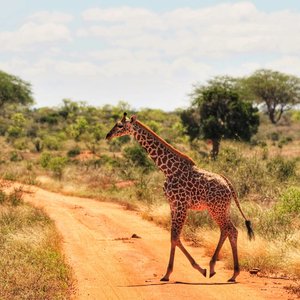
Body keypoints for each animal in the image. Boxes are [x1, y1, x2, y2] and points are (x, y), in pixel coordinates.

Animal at [105, 113, 253, 282]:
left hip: (217, 209)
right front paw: (170, 273)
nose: (108, 135)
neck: (168, 170)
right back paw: (216, 268)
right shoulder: (173, 205)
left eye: (120, 125)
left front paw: (189, 270)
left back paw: (231, 273)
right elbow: (173, 237)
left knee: (230, 230)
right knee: (228, 230)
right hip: (221, 209)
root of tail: (228, 185)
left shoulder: (181, 205)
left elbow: (175, 237)